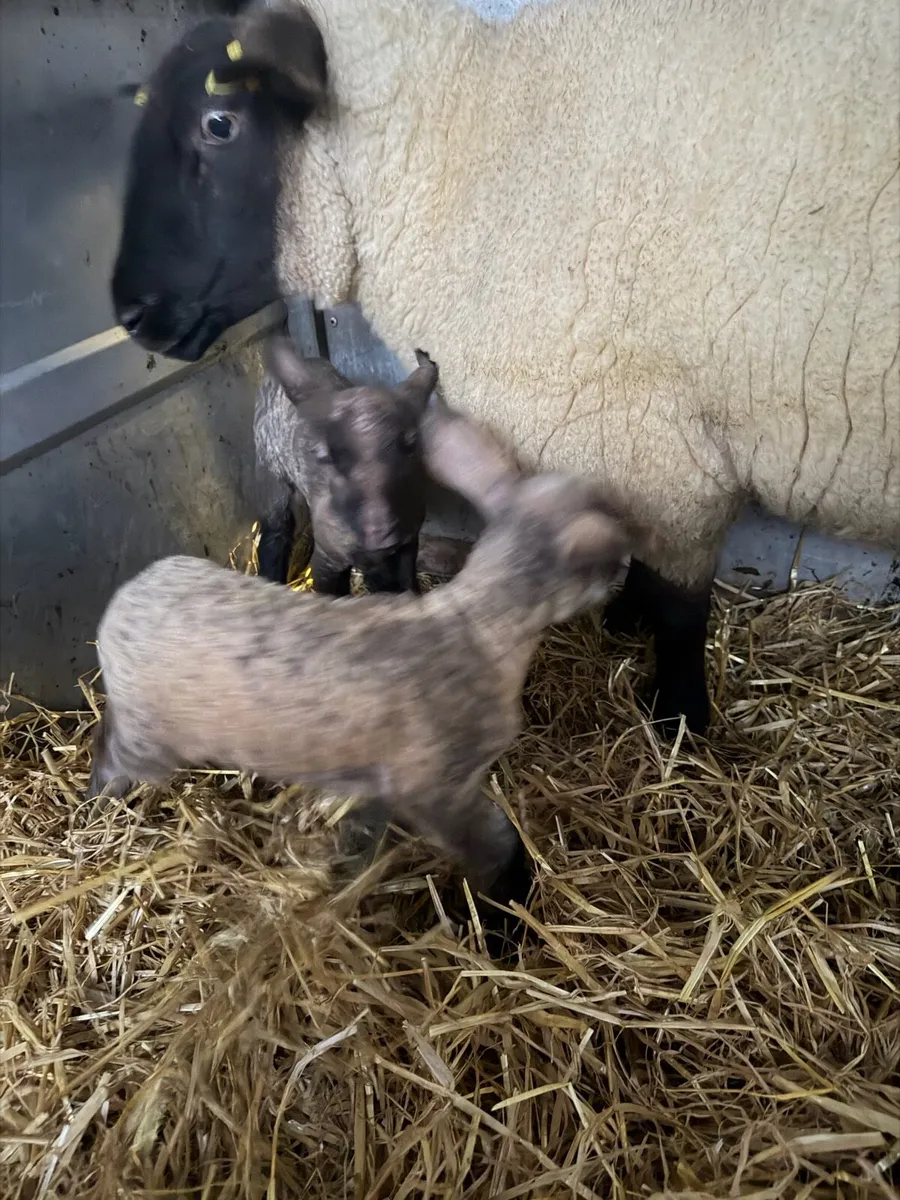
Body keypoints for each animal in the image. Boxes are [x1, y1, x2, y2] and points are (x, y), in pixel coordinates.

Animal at [88, 393, 632, 930]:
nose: (624, 568)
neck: (476, 623)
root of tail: (125, 600)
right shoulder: (436, 786)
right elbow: (496, 844)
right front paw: (507, 912)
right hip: (150, 734)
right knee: (111, 749)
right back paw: (102, 795)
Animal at [254, 334, 436, 593]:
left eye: (411, 443)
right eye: (326, 456)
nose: (380, 533)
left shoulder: (409, 541)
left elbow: (405, 585)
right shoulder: (326, 559)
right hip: (269, 471)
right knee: (275, 529)